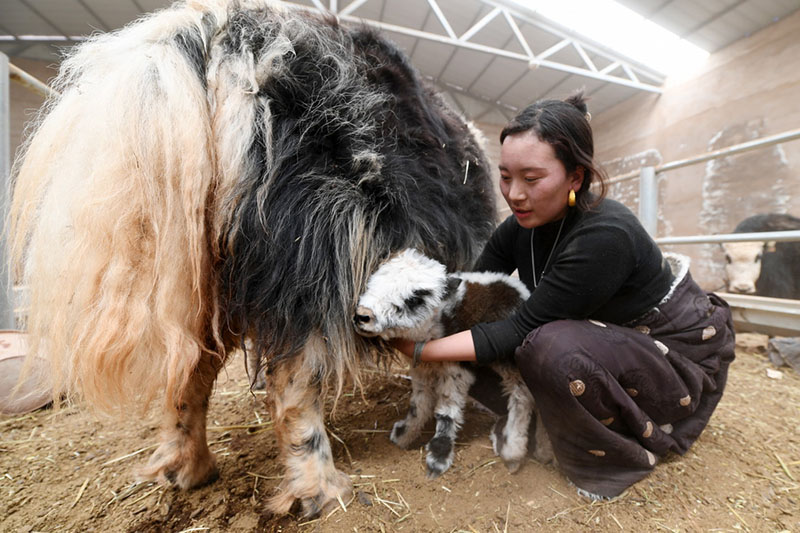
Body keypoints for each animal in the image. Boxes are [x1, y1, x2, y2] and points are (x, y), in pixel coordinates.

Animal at [354, 249, 552, 478]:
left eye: (415, 299)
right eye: (372, 282)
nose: (363, 316)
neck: (438, 322)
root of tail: (522, 291)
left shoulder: (455, 369)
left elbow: (447, 413)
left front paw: (437, 458)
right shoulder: (421, 369)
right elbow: (418, 405)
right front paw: (403, 435)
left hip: (508, 359)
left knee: (524, 395)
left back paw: (514, 451)